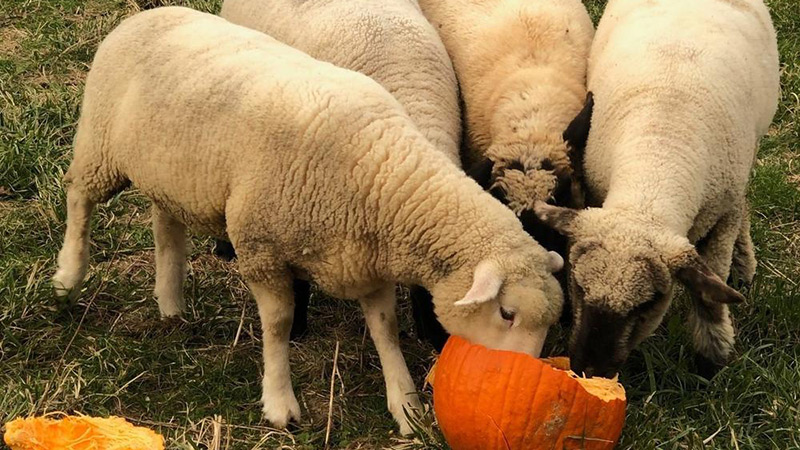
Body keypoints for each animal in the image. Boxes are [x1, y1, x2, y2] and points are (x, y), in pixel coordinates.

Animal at [536, 0, 780, 380]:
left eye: (649, 302)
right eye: (578, 285)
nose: (589, 370)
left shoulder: (721, 217)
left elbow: (710, 297)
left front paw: (711, 360)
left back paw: (743, 267)